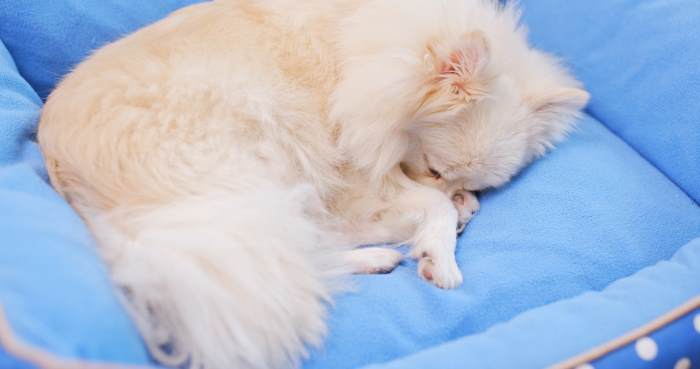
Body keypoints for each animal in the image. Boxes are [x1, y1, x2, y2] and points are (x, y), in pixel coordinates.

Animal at [37, 0, 584, 368]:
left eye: (472, 178)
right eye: (433, 167)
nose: (457, 188)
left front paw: (458, 210)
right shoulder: (358, 169)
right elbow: (430, 207)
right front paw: (439, 250)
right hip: (265, 144)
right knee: (293, 248)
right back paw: (380, 253)